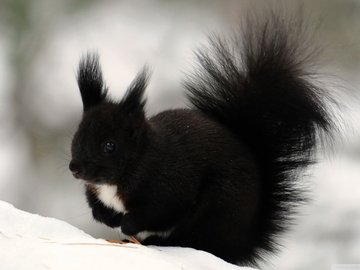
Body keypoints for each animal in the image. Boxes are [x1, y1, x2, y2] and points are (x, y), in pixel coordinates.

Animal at [69, 11, 334, 266]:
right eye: (77, 137)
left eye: (109, 146)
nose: (75, 169)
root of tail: (244, 242)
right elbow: (97, 207)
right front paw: (108, 217)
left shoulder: (170, 186)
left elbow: (158, 213)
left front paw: (127, 224)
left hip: (216, 210)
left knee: (198, 241)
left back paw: (156, 241)